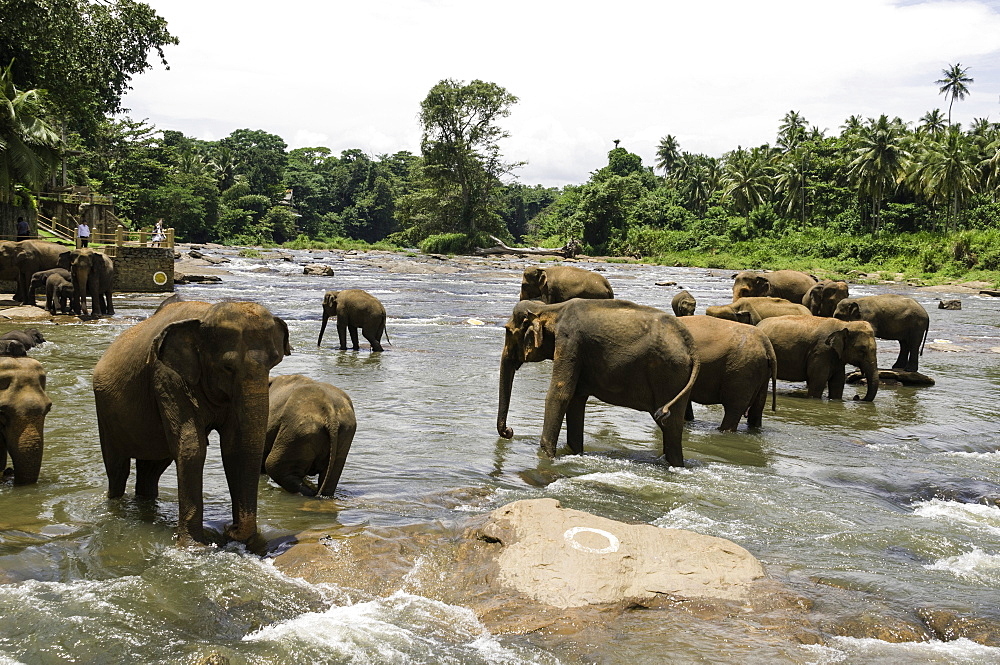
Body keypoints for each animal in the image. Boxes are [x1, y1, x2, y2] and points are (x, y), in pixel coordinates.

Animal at [90, 300, 292, 544]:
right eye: (227, 367)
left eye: (274, 362)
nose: (229, 528)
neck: (206, 315)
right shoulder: (167, 378)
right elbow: (191, 447)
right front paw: (195, 545)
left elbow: (234, 447)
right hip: (105, 413)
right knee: (117, 469)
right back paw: (116, 508)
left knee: (152, 470)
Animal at [496, 298, 700, 464]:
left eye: (507, 331)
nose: (510, 431)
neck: (550, 309)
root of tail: (691, 345)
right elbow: (576, 399)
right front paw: (575, 453)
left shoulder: (570, 342)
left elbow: (560, 394)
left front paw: (548, 457)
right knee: (672, 426)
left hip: (669, 375)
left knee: (670, 427)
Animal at [752, 316, 880, 402]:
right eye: (862, 350)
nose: (857, 397)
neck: (844, 324)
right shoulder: (821, 351)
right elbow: (818, 380)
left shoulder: (837, 358)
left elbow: (837, 383)